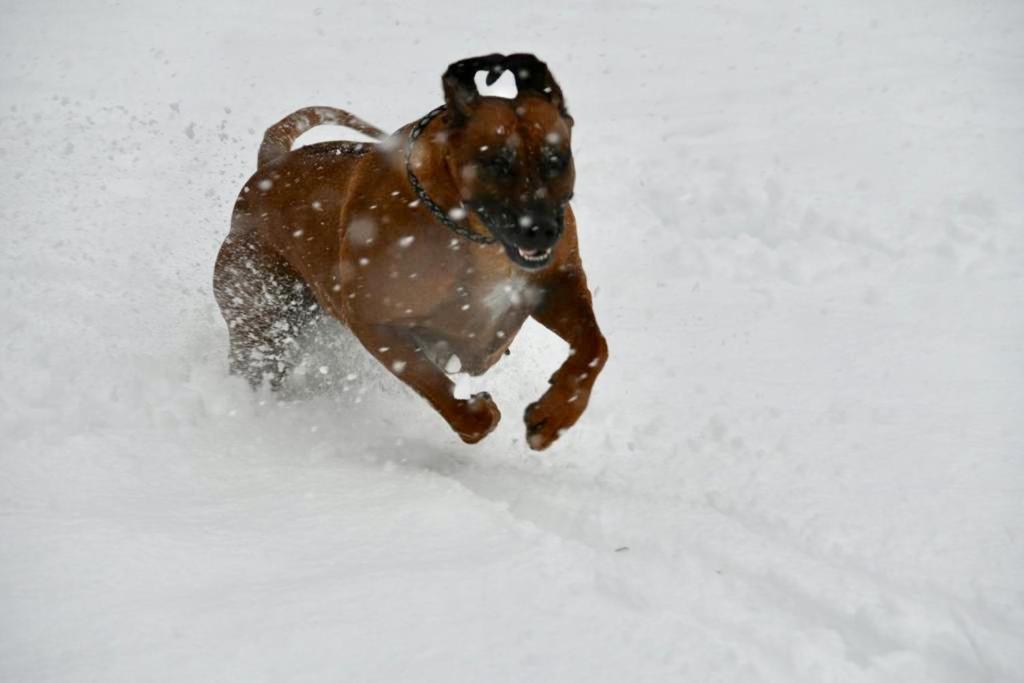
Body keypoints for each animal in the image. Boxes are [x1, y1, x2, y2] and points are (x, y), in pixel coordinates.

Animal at [211, 53, 602, 448]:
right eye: (497, 163)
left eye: (556, 160)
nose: (542, 230)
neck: (471, 233)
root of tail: (267, 168)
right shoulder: (373, 320)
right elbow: (433, 384)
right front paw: (476, 413)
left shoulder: (555, 284)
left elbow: (594, 345)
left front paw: (555, 414)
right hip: (262, 317)